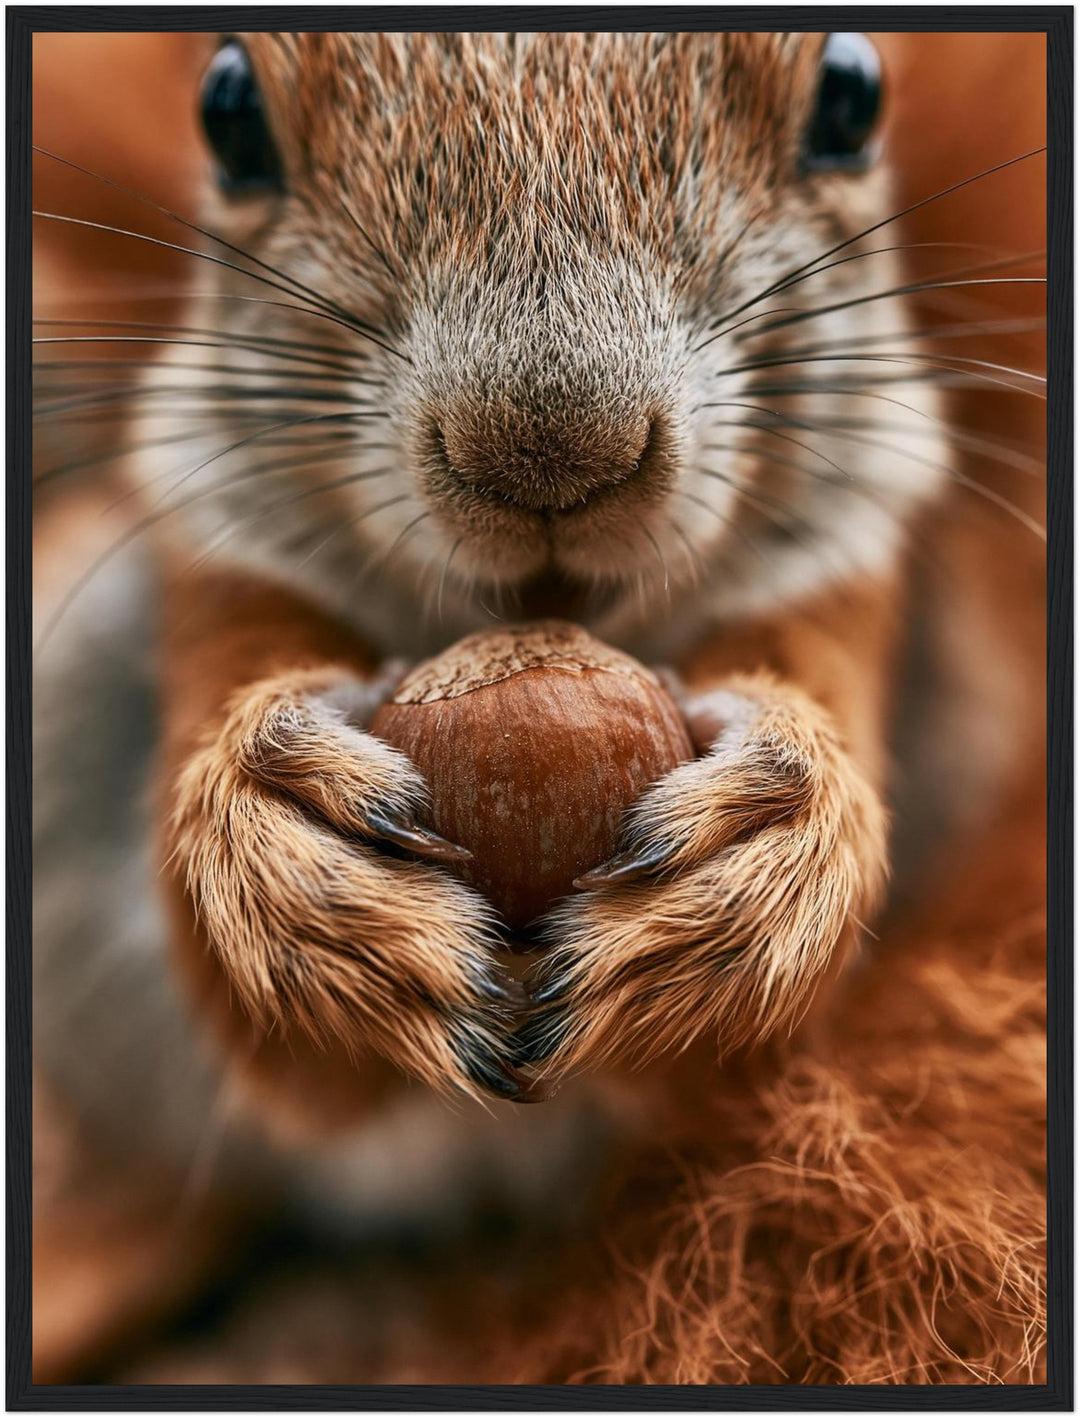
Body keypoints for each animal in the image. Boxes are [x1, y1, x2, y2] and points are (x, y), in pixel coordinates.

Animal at [31, 32, 1046, 1382]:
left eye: (852, 95)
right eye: (229, 111)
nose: (552, 452)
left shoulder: (859, 576)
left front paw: (767, 853)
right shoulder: (216, 563)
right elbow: (272, 1030)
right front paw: (291, 859)